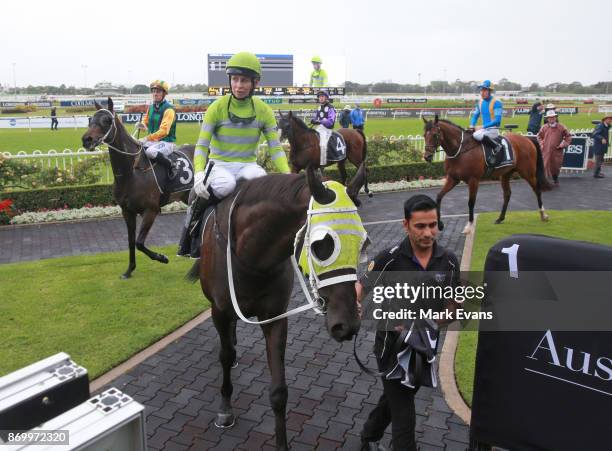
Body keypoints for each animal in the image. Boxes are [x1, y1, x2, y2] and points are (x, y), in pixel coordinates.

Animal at [81, 99, 195, 278]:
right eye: (90, 119)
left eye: (107, 121)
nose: (87, 139)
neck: (131, 173)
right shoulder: (127, 211)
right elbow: (130, 241)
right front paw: (129, 270)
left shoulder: (151, 210)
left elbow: (139, 242)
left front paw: (162, 257)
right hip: (186, 195)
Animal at [189, 164, 366, 450]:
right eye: (320, 245)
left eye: (363, 243)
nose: (347, 324)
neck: (252, 257)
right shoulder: (219, 311)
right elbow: (224, 356)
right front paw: (225, 410)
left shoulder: (275, 317)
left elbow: (279, 391)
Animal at [424, 115, 552, 235]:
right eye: (425, 135)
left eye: (434, 135)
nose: (427, 157)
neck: (460, 150)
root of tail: (527, 139)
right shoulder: (453, 178)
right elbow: (439, 197)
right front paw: (440, 224)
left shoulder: (473, 180)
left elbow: (471, 202)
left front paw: (469, 226)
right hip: (505, 174)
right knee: (507, 194)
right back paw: (500, 218)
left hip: (528, 173)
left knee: (537, 190)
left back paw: (543, 215)